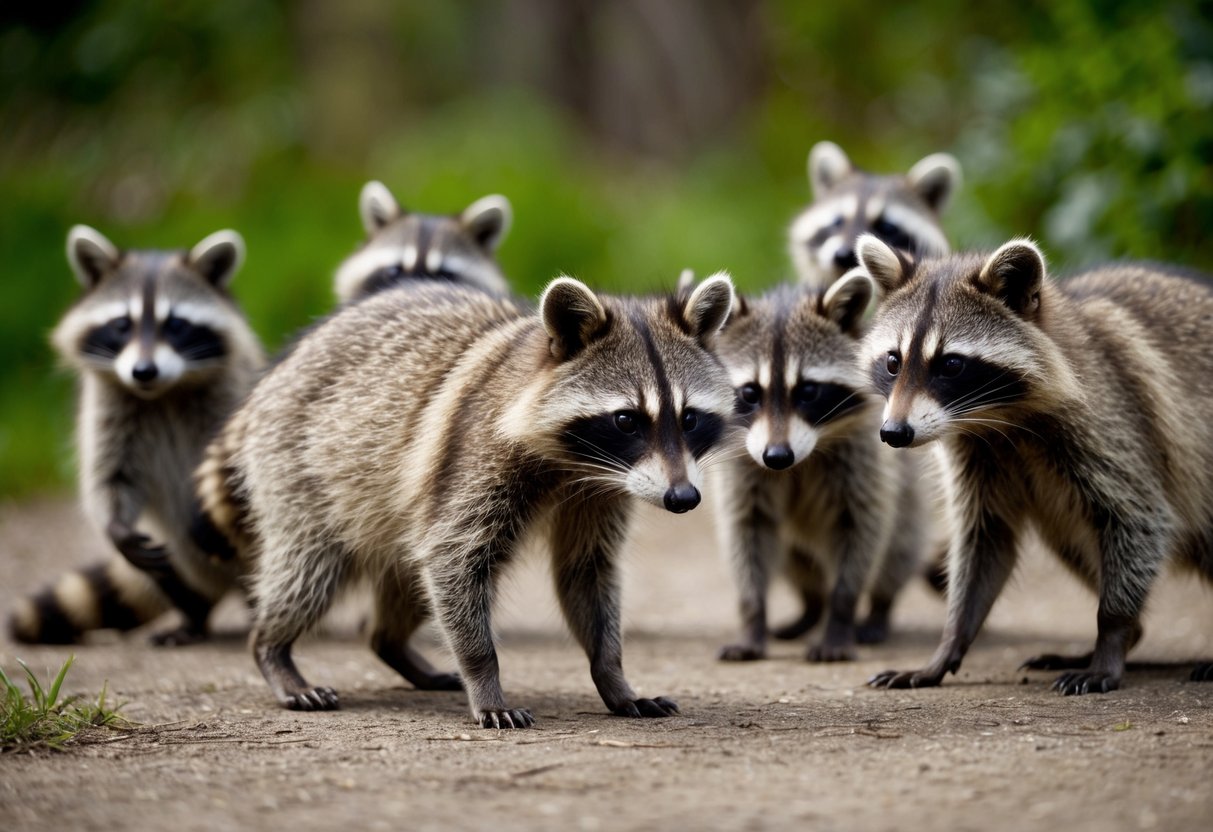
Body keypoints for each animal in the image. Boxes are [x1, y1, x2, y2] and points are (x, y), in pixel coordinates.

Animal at [7, 226, 265, 646]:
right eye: (121, 324)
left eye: (176, 324)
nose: (144, 371)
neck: (162, 392)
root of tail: (220, 584)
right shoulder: (108, 410)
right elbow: (109, 477)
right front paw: (115, 525)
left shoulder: (232, 396)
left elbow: (236, 462)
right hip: (172, 554)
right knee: (165, 570)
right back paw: (193, 616)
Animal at [198, 273, 736, 725]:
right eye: (626, 420)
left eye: (690, 418)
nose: (683, 497)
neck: (574, 462)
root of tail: (270, 381)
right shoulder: (473, 456)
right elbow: (455, 559)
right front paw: (486, 680)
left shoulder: (601, 491)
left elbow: (585, 570)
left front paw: (613, 676)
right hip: (302, 471)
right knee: (310, 570)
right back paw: (272, 647)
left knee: (408, 582)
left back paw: (391, 643)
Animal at [708, 272, 926, 663]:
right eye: (750, 393)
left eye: (808, 391)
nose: (777, 456)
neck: (803, 458)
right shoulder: (745, 467)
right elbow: (746, 532)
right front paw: (752, 616)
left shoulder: (862, 460)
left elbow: (861, 531)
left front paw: (840, 618)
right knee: (795, 564)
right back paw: (809, 608)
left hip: (908, 501)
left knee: (898, 550)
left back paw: (877, 610)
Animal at [857, 234, 1213, 694]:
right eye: (893, 361)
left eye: (951, 364)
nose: (894, 433)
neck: (998, 418)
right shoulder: (978, 456)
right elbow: (985, 541)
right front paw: (947, 645)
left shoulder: (1114, 419)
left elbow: (1139, 518)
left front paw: (1111, 635)